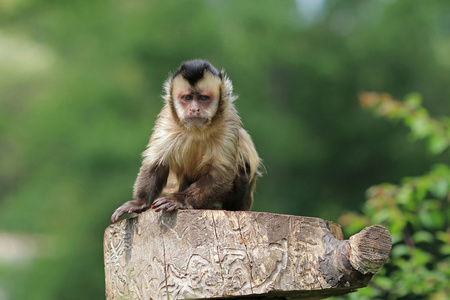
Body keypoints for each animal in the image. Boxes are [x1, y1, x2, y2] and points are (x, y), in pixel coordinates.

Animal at [110, 59, 262, 223]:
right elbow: (157, 162)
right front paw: (140, 202)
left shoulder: (229, 120)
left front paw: (179, 200)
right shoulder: (167, 119)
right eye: (187, 98)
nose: (194, 109)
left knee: (244, 168)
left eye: (203, 98)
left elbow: (221, 173)